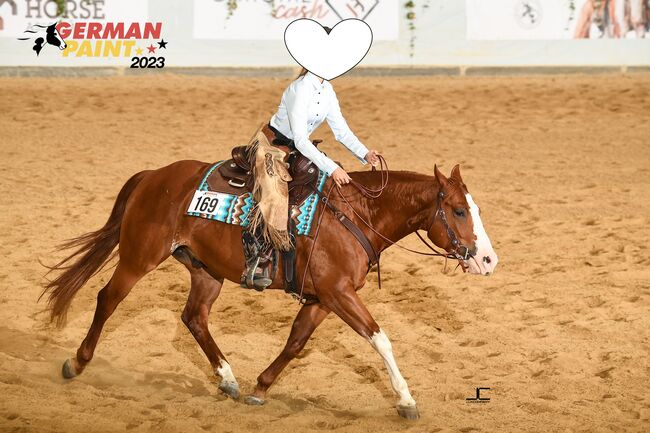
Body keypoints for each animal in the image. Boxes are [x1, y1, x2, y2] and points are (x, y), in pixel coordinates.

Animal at [41, 160, 496, 416]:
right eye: (458, 210)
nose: (489, 259)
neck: (356, 214)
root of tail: (154, 176)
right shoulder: (340, 294)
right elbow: (380, 339)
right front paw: (405, 400)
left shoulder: (323, 299)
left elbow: (296, 342)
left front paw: (259, 389)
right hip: (139, 257)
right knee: (107, 299)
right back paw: (76, 363)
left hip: (207, 272)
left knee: (194, 317)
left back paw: (228, 380)